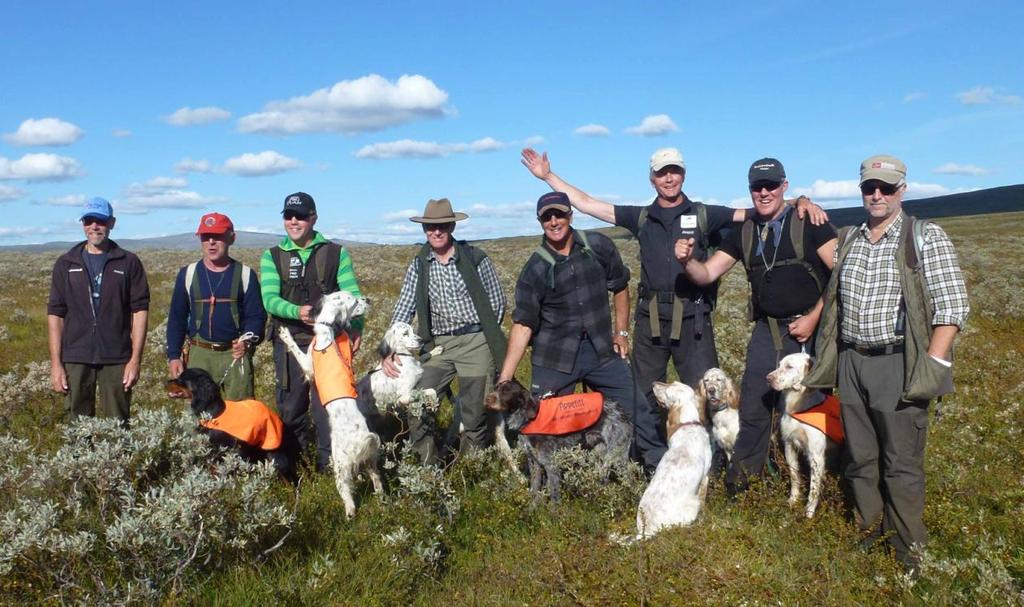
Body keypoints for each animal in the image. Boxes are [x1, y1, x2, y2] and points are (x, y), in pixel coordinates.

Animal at [770, 352, 839, 517]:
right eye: (779, 364)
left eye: (789, 367)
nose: (768, 378)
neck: (800, 406)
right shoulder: (789, 444)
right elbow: (795, 476)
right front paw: (792, 501)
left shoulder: (816, 456)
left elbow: (813, 489)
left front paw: (809, 513)